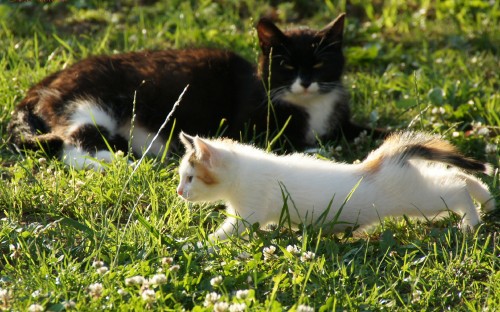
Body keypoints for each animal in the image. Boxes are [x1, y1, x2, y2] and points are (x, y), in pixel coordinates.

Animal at [6, 13, 378, 169]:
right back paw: (118, 163)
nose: (305, 81)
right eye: (285, 65)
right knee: (73, 144)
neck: (310, 105)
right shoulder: (249, 126)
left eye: (319, 64)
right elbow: (290, 143)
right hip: (92, 103)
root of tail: (43, 83)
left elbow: (363, 130)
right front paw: (321, 153)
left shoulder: (340, 120)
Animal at [175, 130, 492, 243]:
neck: (242, 171)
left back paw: (471, 221)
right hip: (418, 185)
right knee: (458, 176)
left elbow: (225, 233)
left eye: (190, 177)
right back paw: (488, 202)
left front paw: (197, 245)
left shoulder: (249, 213)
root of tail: (383, 158)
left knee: (455, 188)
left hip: (417, 198)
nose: (179, 192)